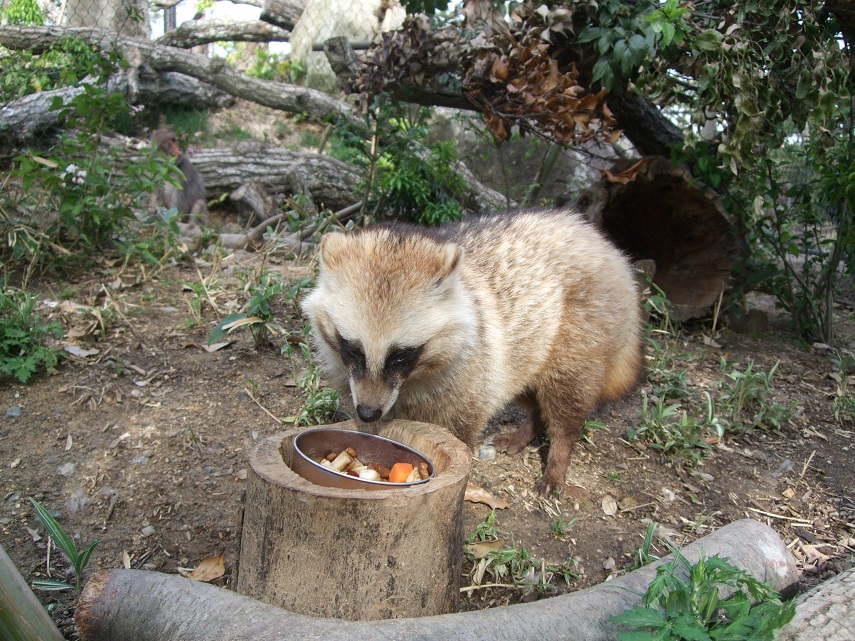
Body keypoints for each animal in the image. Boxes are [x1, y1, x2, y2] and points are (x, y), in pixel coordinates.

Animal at [300, 210, 640, 496]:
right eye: (352, 348)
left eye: (400, 355)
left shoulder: (469, 377)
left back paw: (559, 452)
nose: (369, 412)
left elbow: (460, 437)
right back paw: (531, 425)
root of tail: (606, 248)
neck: (410, 381)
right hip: (530, 347)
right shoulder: (350, 379)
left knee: (565, 396)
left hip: (583, 330)